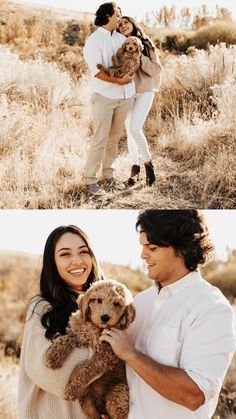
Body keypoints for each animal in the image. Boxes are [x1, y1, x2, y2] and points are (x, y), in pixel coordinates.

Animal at [45, 278, 136, 419]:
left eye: (117, 304)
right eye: (98, 300)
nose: (105, 317)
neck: (96, 327)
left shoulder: (106, 354)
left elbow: (85, 368)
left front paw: (72, 389)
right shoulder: (79, 334)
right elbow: (67, 338)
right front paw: (54, 356)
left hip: (118, 394)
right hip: (88, 404)